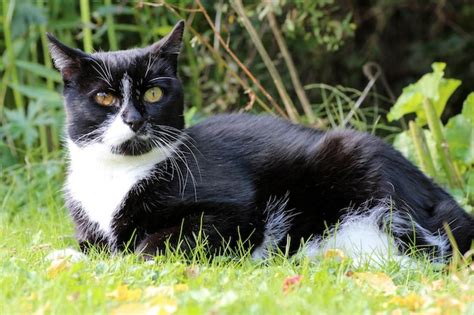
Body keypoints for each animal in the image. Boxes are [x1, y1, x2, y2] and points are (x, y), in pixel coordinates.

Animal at [46, 21, 472, 266]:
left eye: (153, 94)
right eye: (104, 97)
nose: (134, 120)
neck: (119, 174)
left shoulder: (234, 211)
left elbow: (152, 244)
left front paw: (118, 260)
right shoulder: (90, 225)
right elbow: (92, 243)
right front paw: (67, 254)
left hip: (361, 165)